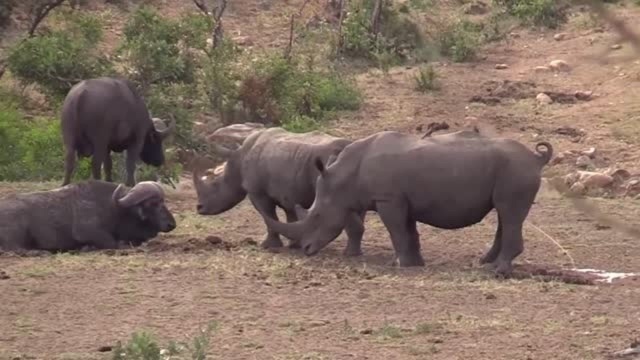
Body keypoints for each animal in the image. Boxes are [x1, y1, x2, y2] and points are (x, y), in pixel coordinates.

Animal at [0, 181, 176, 252]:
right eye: (153, 204)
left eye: (163, 202)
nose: (171, 224)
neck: (113, 208)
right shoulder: (88, 232)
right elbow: (114, 243)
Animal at [191, 128, 364, 255]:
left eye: (215, 185)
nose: (199, 208)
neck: (236, 161)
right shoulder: (288, 192)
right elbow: (291, 216)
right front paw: (294, 244)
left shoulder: (257, 192)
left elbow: (268, 216)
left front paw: (269, 246)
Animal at [258, 130, 552, 276]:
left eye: (317, 216)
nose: (307, 249)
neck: (344, 177)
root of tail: (536, 158)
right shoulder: (402, 199)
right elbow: (409, 231)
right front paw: (415, 263)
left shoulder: (389, 199)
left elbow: (397, 231)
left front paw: (399, 265)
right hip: (512, 170)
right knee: (505, 214)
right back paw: (486, 263)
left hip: (515, 170)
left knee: (510, 213)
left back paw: (499, 270)